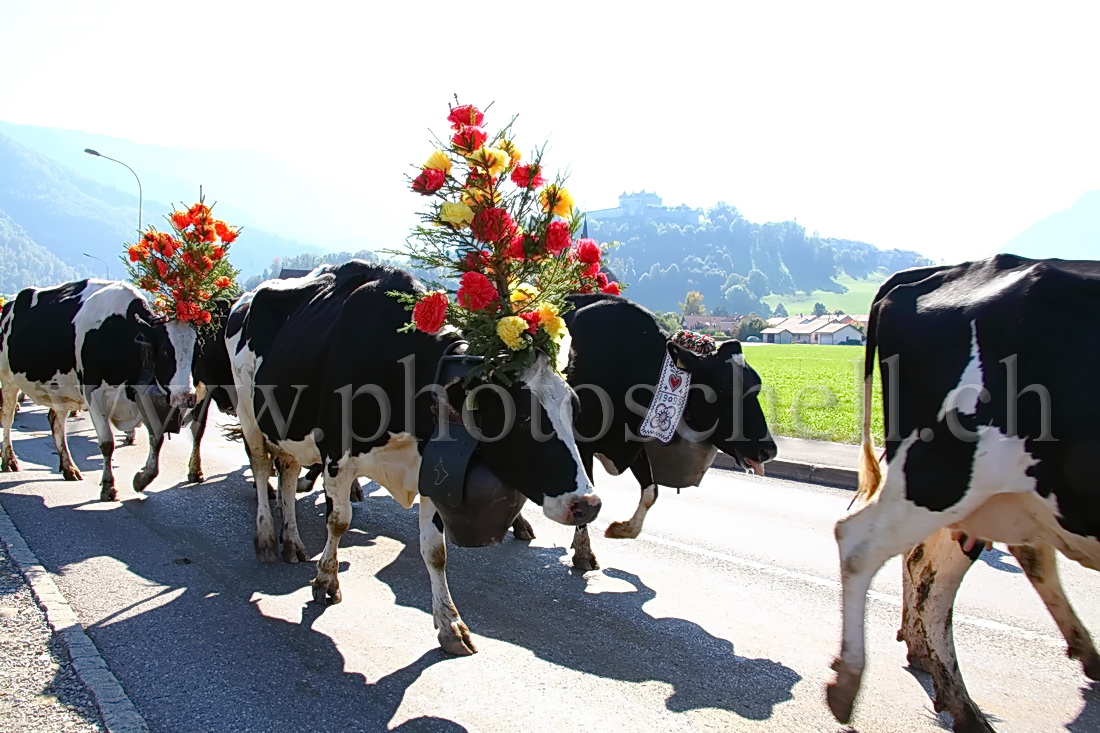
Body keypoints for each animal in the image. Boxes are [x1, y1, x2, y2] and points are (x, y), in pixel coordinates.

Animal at [1, 278, 198, 497]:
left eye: (196, 351)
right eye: (165, 351)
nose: (187, 396)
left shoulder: (142, 397)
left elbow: (157, 438)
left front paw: (142, 478)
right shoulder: (94, 395)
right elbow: (107, 443)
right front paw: (109, 485)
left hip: (59, 389)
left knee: (56, 421)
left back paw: (69, 468)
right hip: (7, 379)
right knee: (7, 417)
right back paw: (9, 459)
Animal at [224, 260, 602, 651]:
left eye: (574, 406)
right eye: (523, 416)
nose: (588, 504)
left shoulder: (428, 468)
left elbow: (435, 551)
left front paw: (450, 624)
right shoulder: (337, 455)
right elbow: (339, 521)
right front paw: (326, 581)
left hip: (284, 425)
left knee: (286, 471)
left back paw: (293, 541)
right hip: (249, 412)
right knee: (260, 465)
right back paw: (267, 537)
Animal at [512, 294, 778, 567]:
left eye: (757, 385)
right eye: (726, 388)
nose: (768, 450)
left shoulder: (633, 438)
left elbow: (651, 492)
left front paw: (621, 529)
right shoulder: (580, 445)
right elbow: (585, 498)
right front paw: (584, 551)